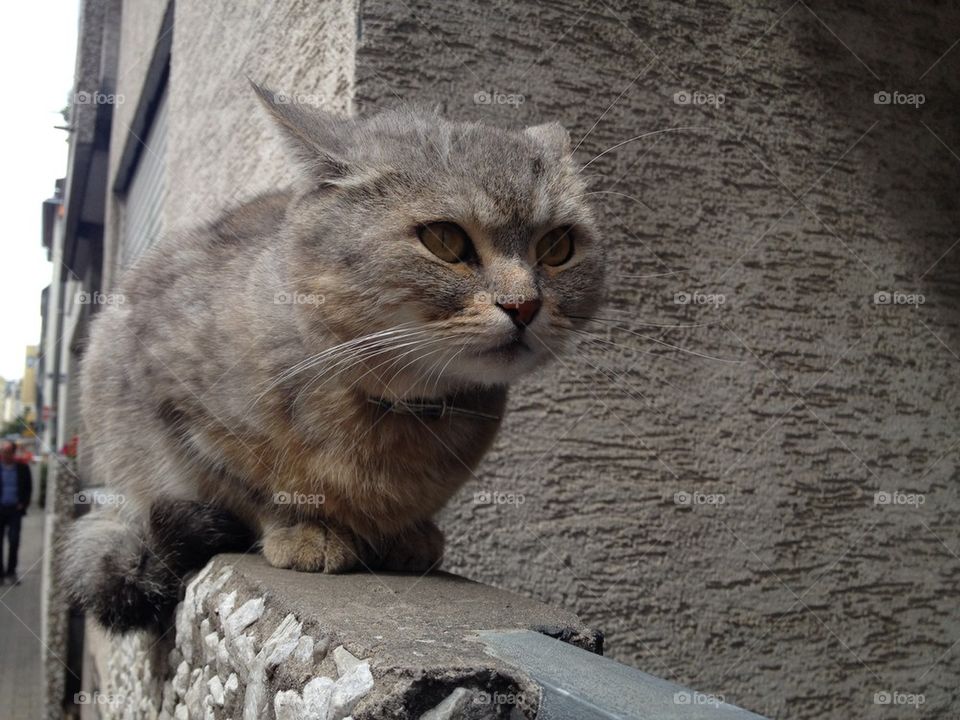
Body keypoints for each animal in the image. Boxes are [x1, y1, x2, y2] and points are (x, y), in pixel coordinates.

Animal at [65, 83, 608, 632]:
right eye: (444, 239)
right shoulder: (180, 412)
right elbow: (250, 488)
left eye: (557, 245)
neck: (396, 410)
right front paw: (306, 529)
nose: (524, 305)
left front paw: (408, 534)